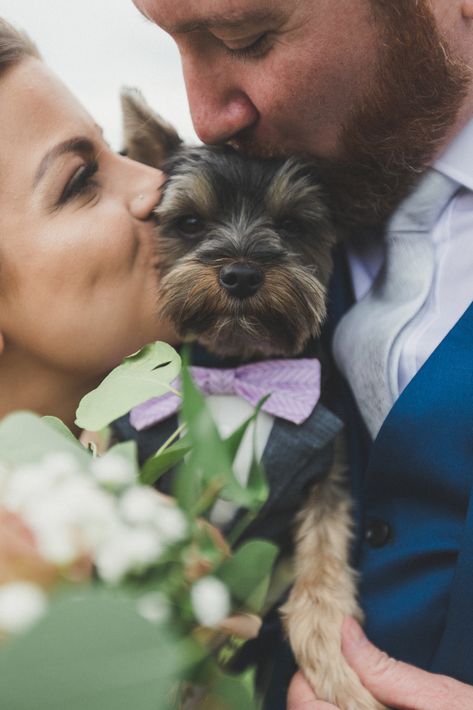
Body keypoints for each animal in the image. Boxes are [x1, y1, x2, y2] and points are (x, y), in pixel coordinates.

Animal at [121, 89, 384, 710]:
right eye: (190, 222)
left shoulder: (328, 467)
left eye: (291, 225)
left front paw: (334, 659)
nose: (240, 273)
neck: (236, 366)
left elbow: (323, 555)